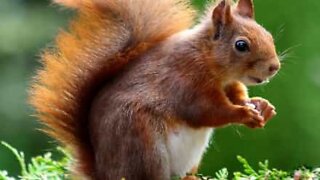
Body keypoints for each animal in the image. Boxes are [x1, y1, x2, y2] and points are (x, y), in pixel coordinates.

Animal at [30, 0, 280, 179]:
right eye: (241, 45)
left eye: (268, 35)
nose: (274, 67)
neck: (208, 60)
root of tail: (103, 172)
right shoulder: (185, 82)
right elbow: (207, 111)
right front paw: (244, 114)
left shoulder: (229, 84)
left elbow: (237, 95)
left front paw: (262, 107)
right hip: (144, 145)